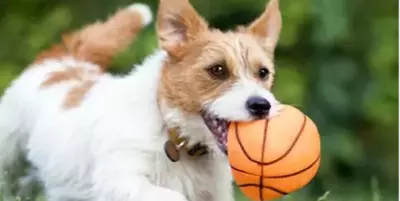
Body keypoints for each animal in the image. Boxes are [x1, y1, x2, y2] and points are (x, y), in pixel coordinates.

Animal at [0, 0, 282, 200]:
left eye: (263, 73)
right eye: (218, 70)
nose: (261, 106)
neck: (175, 136)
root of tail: (63, 58)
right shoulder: (118, 180)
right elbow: (171, 196)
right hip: (8, 155)